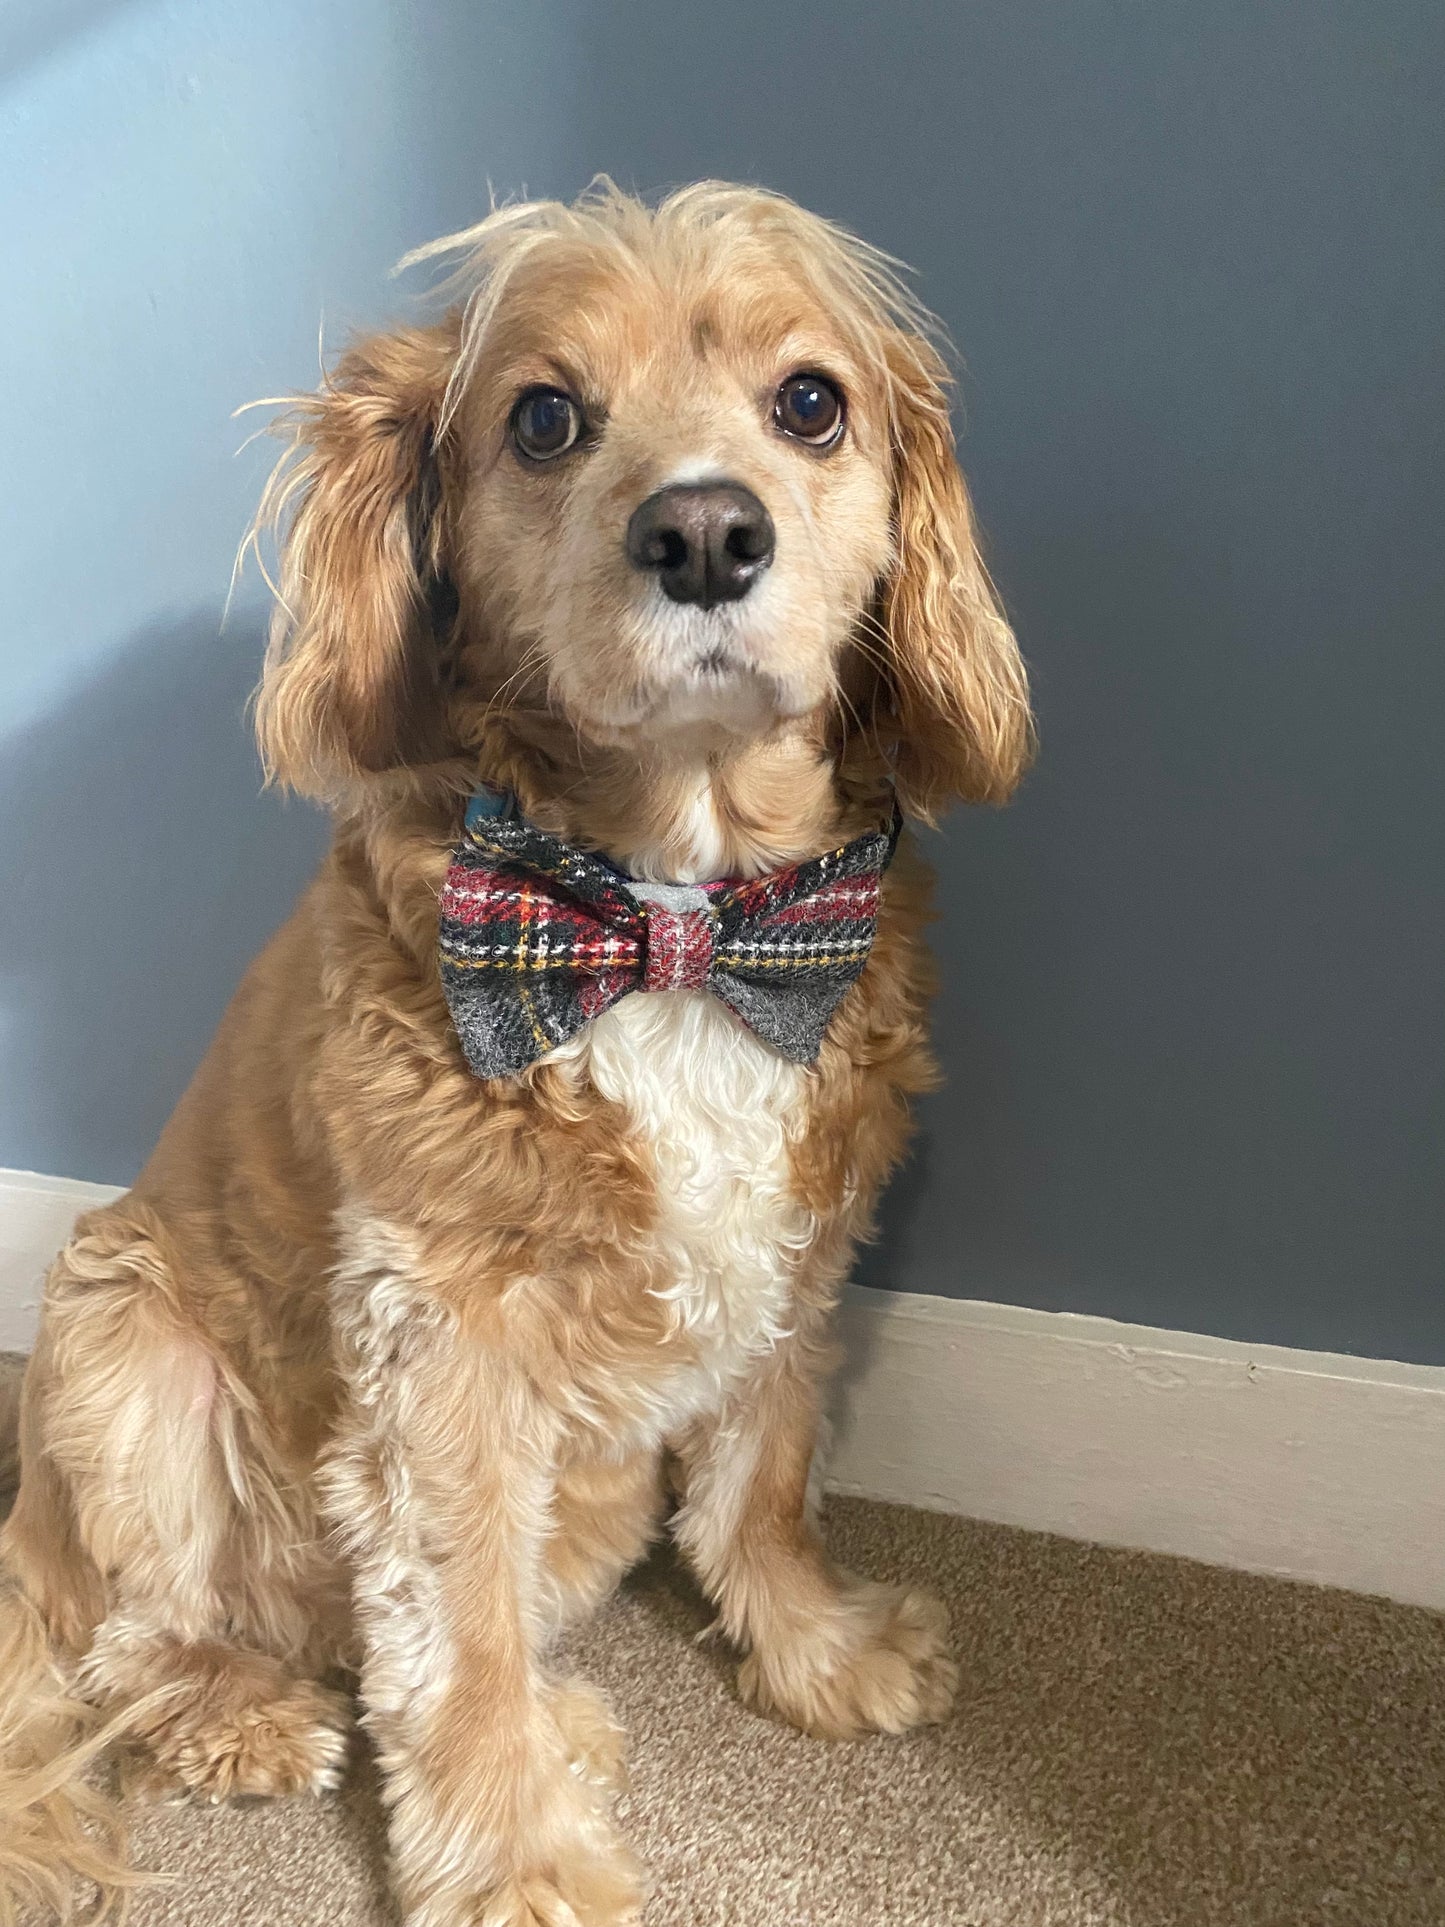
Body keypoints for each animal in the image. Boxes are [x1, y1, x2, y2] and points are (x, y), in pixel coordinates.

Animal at [5, 184, 1032, 1927]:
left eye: (810, 402)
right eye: (543, 418)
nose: (706, 532)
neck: (673, 920)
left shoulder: (794, 1253)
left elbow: (761, 1478)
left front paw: (814, 1649)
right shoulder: (442, 1334)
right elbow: (458, 1617)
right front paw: (513, 1850)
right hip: (118, 1334)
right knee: (147, 1642)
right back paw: (245, 1709)